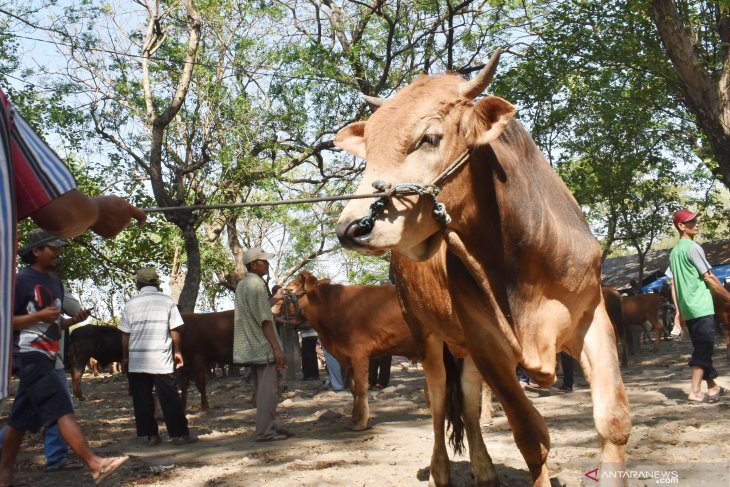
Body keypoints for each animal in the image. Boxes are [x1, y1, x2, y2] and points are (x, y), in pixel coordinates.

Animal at [274, 270, 420, 430]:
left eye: (289, 290)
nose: (273, 307)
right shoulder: (347, 358)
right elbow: (353, 389)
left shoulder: (359, 354)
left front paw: (361, 423)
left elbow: (361, 388)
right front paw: (355, 419)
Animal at [334, 50, 624, 487]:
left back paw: (485, 469)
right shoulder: (487, 344)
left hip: (465, 350)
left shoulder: (591, 316)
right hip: (428, 336)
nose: (352, 227)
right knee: (438, 401)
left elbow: (613, 422)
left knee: (469, 405)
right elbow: (531, 436)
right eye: (368, 146)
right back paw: (440, 470)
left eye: (429, 137)